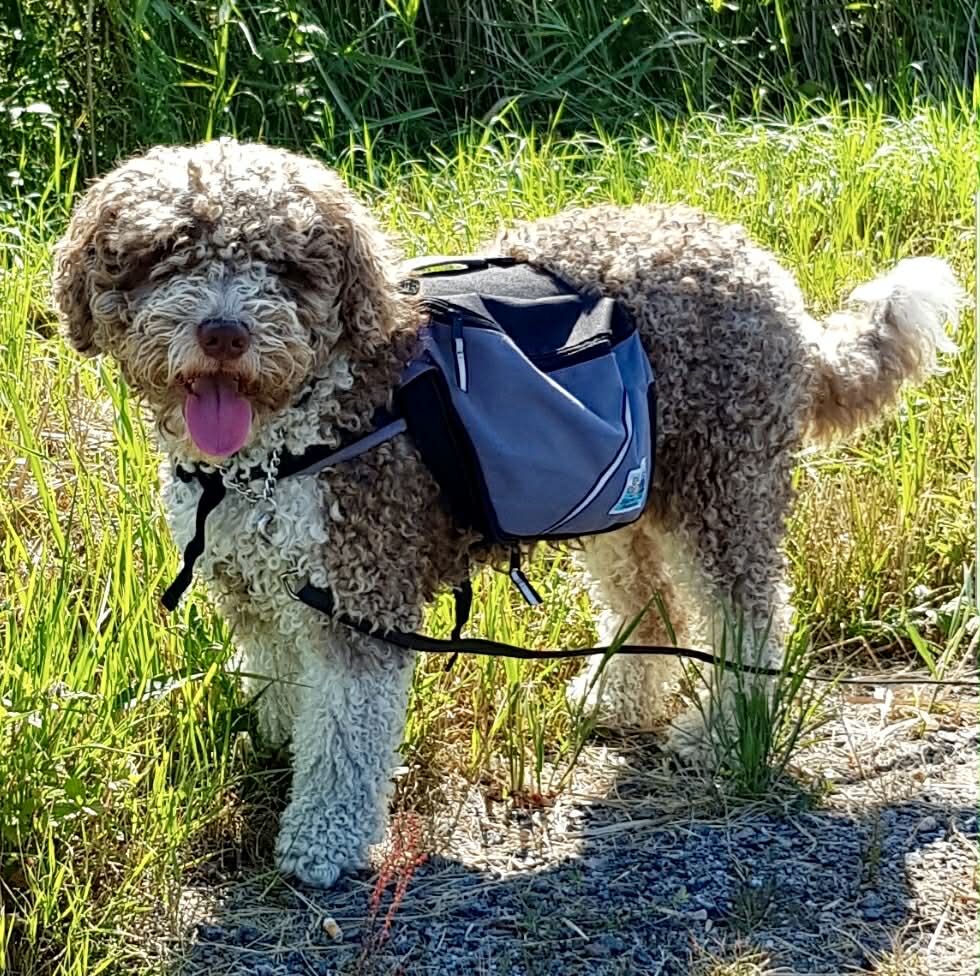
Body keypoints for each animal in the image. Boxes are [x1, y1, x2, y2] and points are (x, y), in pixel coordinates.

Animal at [52, 139, 962, 887]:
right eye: (166, 256)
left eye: (282, 266)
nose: (225, 332)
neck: (280, 440)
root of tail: (764, 272)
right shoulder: (251, 585)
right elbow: (281, 682)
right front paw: (274, 745)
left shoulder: (362, 595)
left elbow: (345, 737)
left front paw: (322, 840)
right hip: (615, 493)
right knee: (649, 601)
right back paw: (620, 697)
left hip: (721, 488)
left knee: (752, 617)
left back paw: (724, 728)